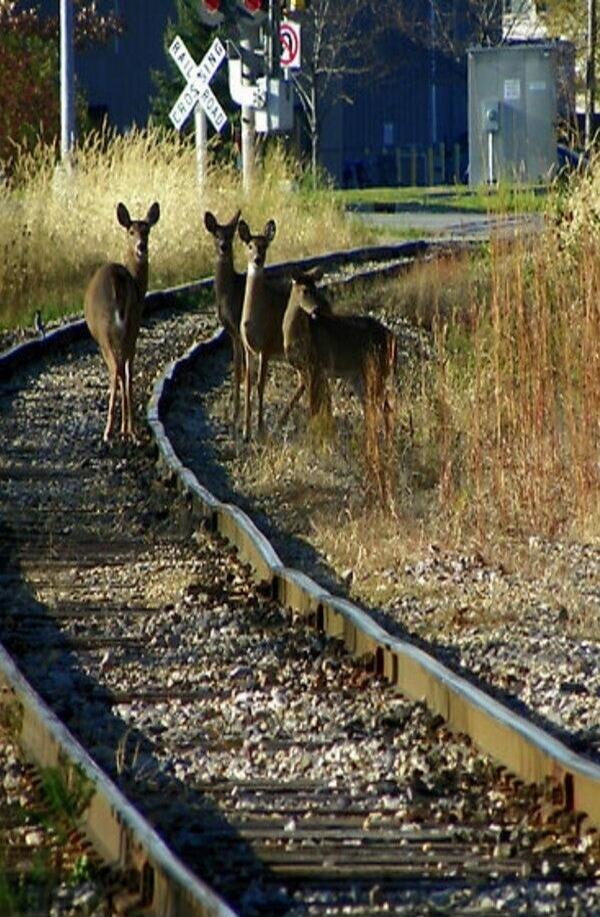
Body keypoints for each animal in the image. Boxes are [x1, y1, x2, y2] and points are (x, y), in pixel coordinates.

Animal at [84, 201, 160, 443]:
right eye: (131, 231)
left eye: (147, 230)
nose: (141, 246)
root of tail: (118, 282)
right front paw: (126, 429)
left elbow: (120, 372)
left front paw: (121, 429)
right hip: (130, 327)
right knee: (123, 370)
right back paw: (128, 430)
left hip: (108, 331)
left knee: (116, 370)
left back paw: (112, 431)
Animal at [237, 217, 306, 441]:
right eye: (249, 245)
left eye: (265, 246)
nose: (257, 259)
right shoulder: (248, 347)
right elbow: (248, 384)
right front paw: (245, 432)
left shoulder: (266, 346)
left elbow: (260, 385)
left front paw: (259, 429)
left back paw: (280, 422)